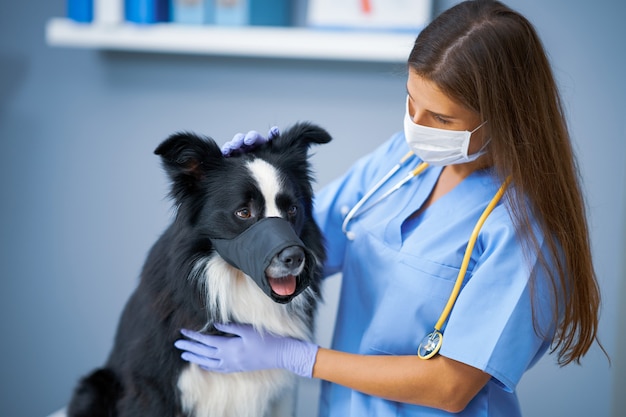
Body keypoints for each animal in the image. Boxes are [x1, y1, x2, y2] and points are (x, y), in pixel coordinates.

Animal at [67, 122, 332, 416]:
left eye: (292, 210)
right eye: (243, 212)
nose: (295, 258)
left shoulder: (278, 395)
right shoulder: (151, 386)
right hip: (96, 386)